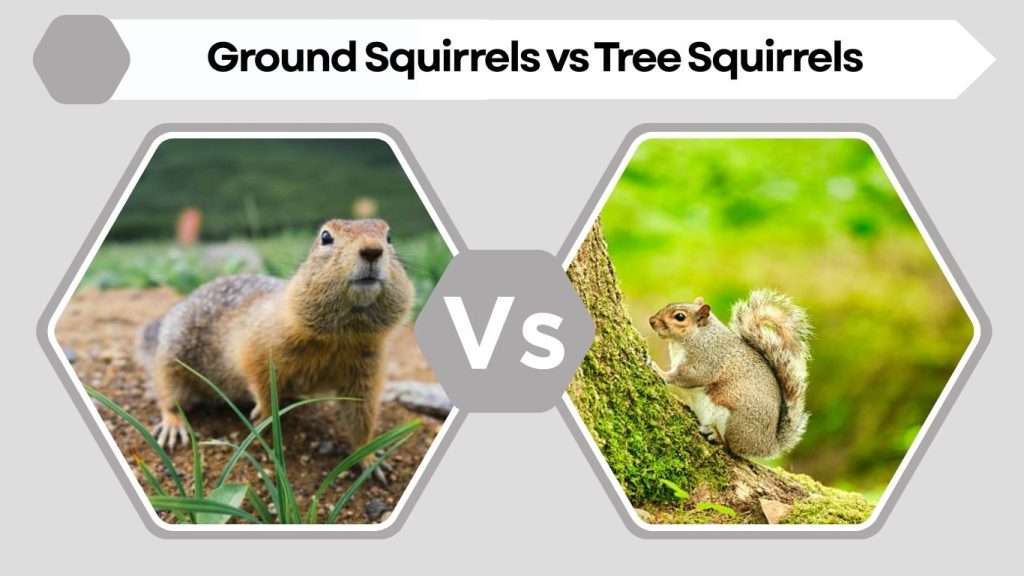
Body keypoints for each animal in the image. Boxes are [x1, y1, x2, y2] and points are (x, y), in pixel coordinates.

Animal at [136, 219, 414, 474]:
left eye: (389, 236)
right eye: (326, 236)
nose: (372, 250)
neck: (339, 338)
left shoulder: (366, 369)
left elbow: (362, 413)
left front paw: (369, 457)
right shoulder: (262, 345)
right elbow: (258, 376)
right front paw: (265, 413)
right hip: (173, 355)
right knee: (168, 393)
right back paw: (173, 425)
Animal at [647, 289, 811, 459]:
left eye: (680, 317)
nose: (651, 321)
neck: (698, 335)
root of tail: (767, 445)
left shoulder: (707, 359)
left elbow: (687, 376)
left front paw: (659, 371)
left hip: (734, 421)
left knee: (731, 446)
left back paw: (715, 434)